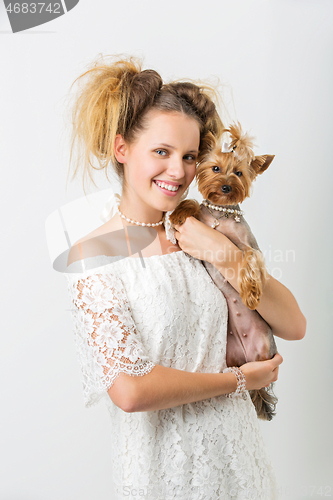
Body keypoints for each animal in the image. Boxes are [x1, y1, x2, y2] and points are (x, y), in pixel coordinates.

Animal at [166, 123, 278, 420]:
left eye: (238, 173)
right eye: (215, 168)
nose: (226, 186)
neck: (221, 214)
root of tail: (248, 356)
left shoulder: (249, 246)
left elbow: (249, 257)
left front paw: (251, 294)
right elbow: (194, 205)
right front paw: (179, 213)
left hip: (265, 349)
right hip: (228, 356)